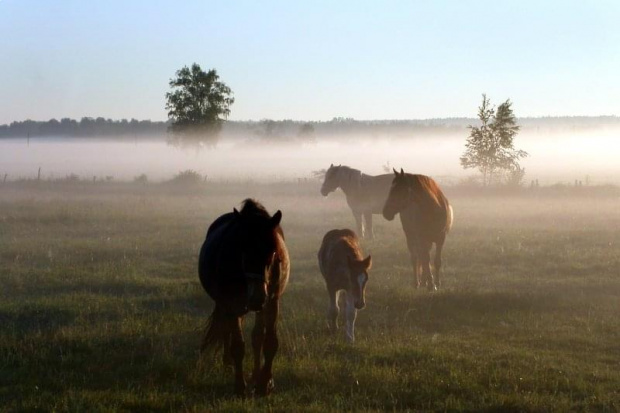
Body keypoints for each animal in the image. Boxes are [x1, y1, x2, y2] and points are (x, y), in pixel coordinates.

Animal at [197, 200, 290, 396]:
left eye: (273, 252)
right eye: (243, 250)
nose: (257, 297)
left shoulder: (271, 302)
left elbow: (269, 342)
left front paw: (264, 383)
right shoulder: (232, 304)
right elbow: (238, 345)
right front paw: (240, 386)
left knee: (257, 337)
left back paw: (255, 375)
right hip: (226, 304)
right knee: (227, 330)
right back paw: (227, 362)